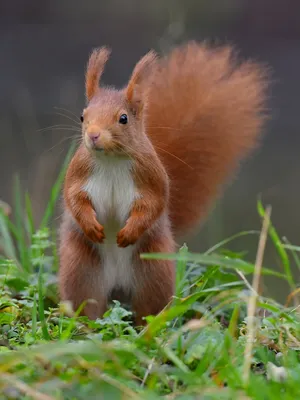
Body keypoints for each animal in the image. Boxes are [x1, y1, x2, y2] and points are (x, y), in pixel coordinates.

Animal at [58, 42, 268, 326]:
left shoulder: (151, 178)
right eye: (83, 116)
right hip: (81, 272)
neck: (111, 160)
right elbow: (74, 198)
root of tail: (117, 288)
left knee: (148, 309)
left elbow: (153, 204)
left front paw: (129, 232)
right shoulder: (79, 173)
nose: (93, 135)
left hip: (153, 272)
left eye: (123, 118)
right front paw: (90, 225)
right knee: (86, 305)